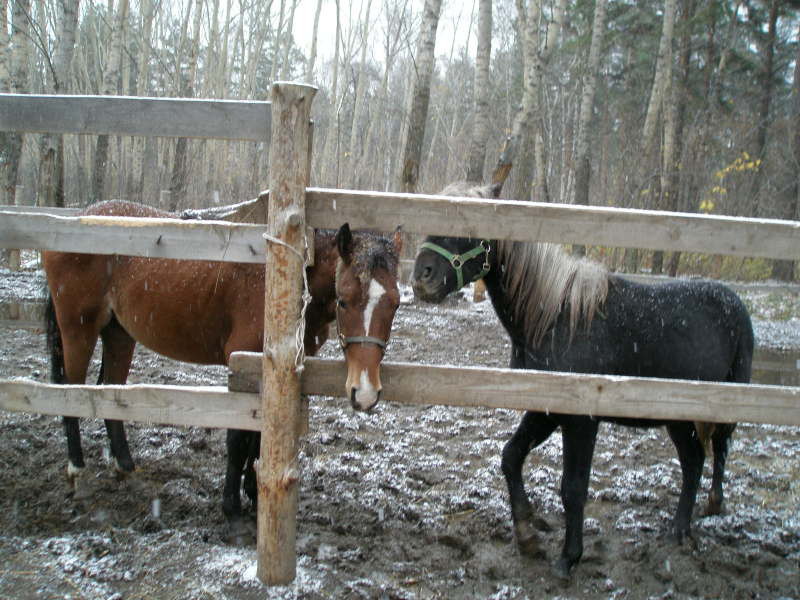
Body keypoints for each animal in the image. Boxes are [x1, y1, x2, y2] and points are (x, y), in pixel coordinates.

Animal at [43, 199, 404, 532]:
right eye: (343, 299)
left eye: (396, 303)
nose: (365, 393)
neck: (281, 282)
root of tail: (79, 218)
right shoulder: (243, 365)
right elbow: (238, 439)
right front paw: (232, 508)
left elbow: (257, 439)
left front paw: (255, 497)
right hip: (78, 330)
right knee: (68, 391)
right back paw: (77, 471)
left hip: (119, 333)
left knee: (109, 390)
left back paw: (124, 464)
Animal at [412, 182, 756, 576]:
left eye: (471, 228)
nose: (421, 277)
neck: (555, 316)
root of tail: (735, 302)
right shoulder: (545, 409)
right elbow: (511, 457)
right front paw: (527, 533)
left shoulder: (581, 419)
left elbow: (573, 487)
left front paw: (569, 556)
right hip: (677, 416)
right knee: (694, 460)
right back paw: (681, 526)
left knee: (717, 449)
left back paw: (702, 513)